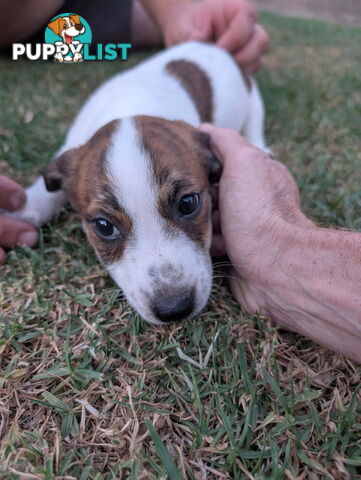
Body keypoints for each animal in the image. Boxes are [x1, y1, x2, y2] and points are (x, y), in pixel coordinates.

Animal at [4, 42, 268, 326]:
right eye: (104, 227)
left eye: (188, 204)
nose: (174, 308)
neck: (130, 106)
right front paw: (23, 209)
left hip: (253, 99)